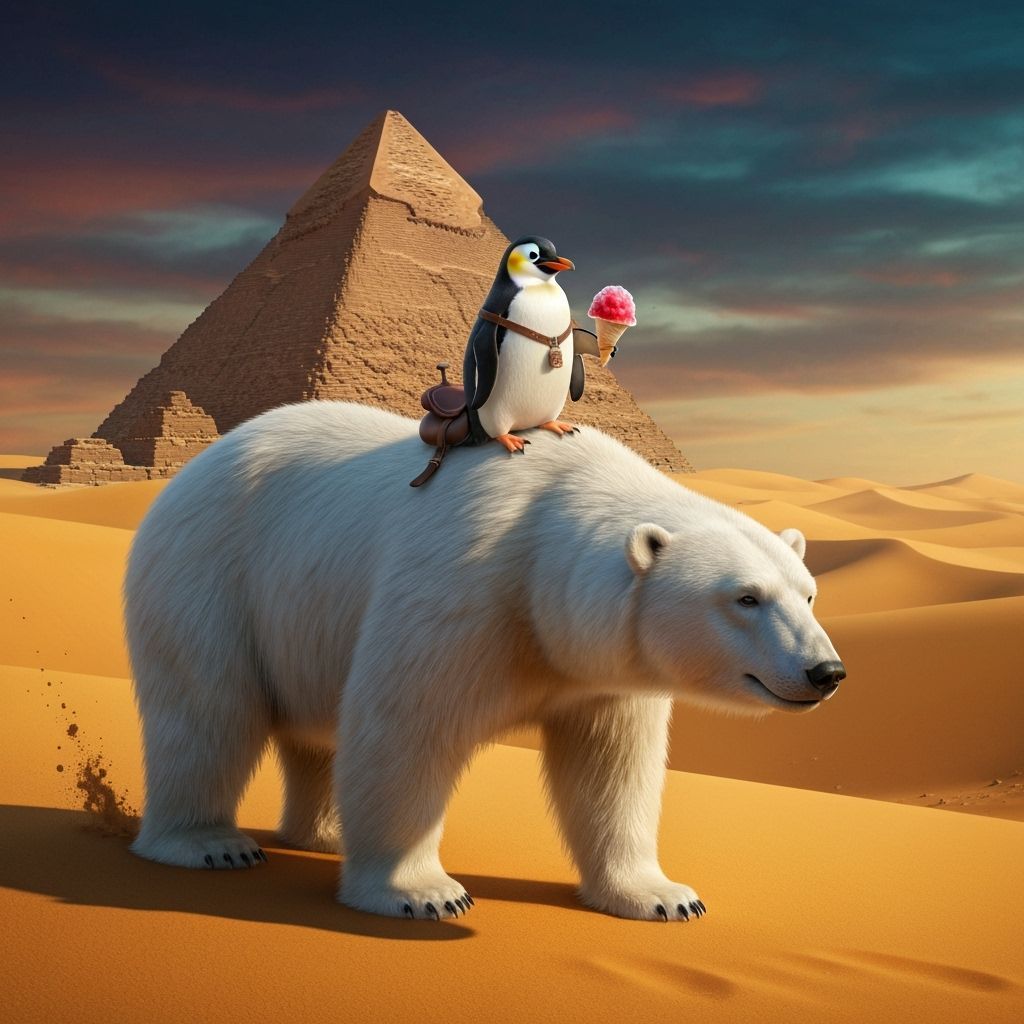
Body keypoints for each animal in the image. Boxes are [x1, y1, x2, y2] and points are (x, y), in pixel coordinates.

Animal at [125, 401, 845, 922]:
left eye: (808, 592)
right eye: (745, 597)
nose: (826, 672)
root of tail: (188, 472)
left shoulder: (601, 669)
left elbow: (612, 766)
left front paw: (664, 896)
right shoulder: (464, 584)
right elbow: (406, 728)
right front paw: (423, 892)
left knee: (313, 733)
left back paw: (325, 835)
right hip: (210, 573)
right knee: (207, 714)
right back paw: (211, 844)